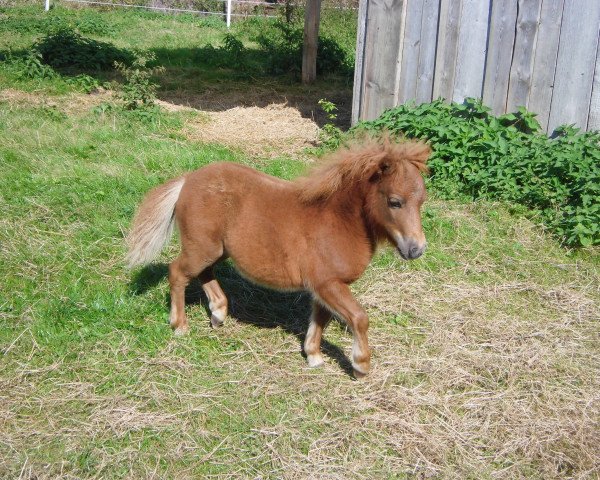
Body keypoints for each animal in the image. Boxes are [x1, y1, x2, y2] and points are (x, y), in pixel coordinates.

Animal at [127, 137, 432, 376]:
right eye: (395, 202)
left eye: (421, 201)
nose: (416, 249)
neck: (339, 220)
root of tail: (188, 180)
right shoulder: (328, 283)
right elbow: (359, 317)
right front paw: (360, 365)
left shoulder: (324, 285)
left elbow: (320, 318)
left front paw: (313, 355)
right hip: (201, 248)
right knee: (178, 272)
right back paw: (180, 326)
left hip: (215, 250)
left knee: (204, 273)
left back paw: (218, 312)